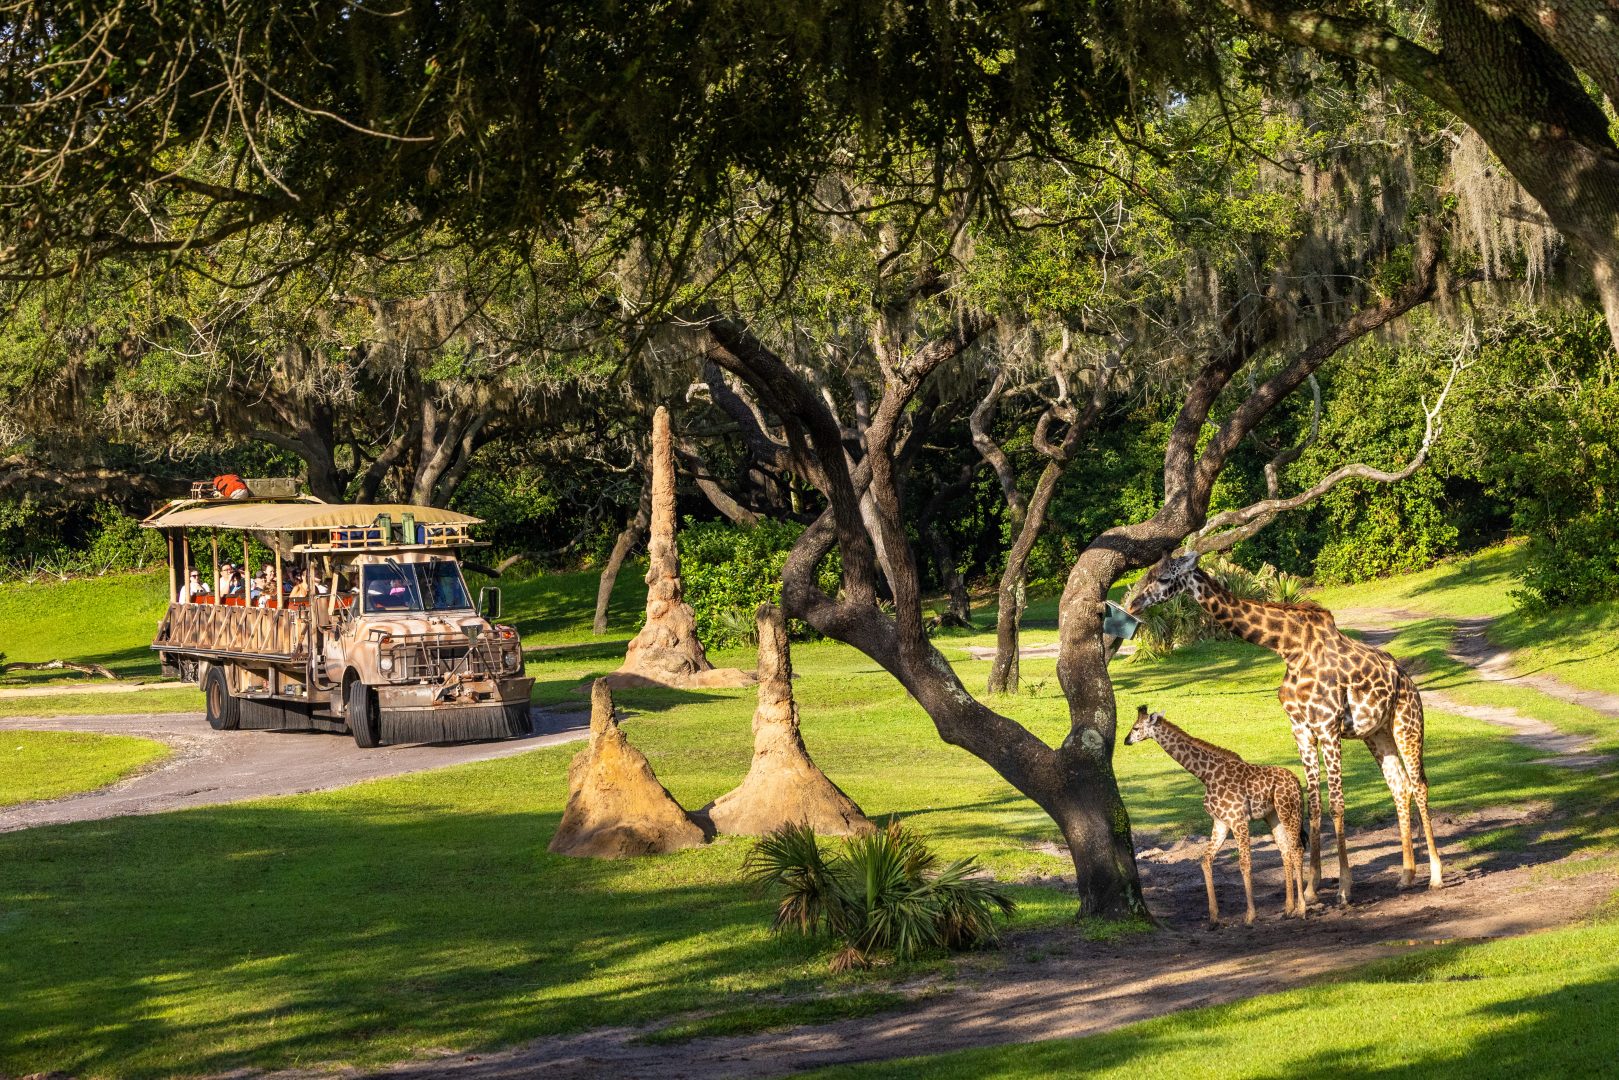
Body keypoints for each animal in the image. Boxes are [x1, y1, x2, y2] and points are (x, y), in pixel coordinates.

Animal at [1125, 705, 1307, 925]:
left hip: (1290, 811)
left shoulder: (1238, 820)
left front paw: (1250, 915)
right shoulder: (1221, 822)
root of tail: (1297, 781)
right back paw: (1288, 909)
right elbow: (1205, 860)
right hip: (1273, 816)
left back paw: (1302, 909)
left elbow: (1244, 863)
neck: (1206, 774)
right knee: (1285, 851)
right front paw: (1213, 916)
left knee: (1297, 849)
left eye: (1136, 727)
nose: (1126, 740)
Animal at [1128, 551, 1443, 905]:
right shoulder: (1302, 730)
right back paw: (1406, 875)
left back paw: (1435, 876)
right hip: (1377, 733)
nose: (1134, 604)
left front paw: (1343, 888)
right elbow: (1315, 804)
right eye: (1148, 573)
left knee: (1419, 784)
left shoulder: (1328, 726)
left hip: (1407, 721)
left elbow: (1336, 804)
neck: (1288, 648)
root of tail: (1406, 677)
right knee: (1399, 787)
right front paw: (1311, 888)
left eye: (1164, 578)